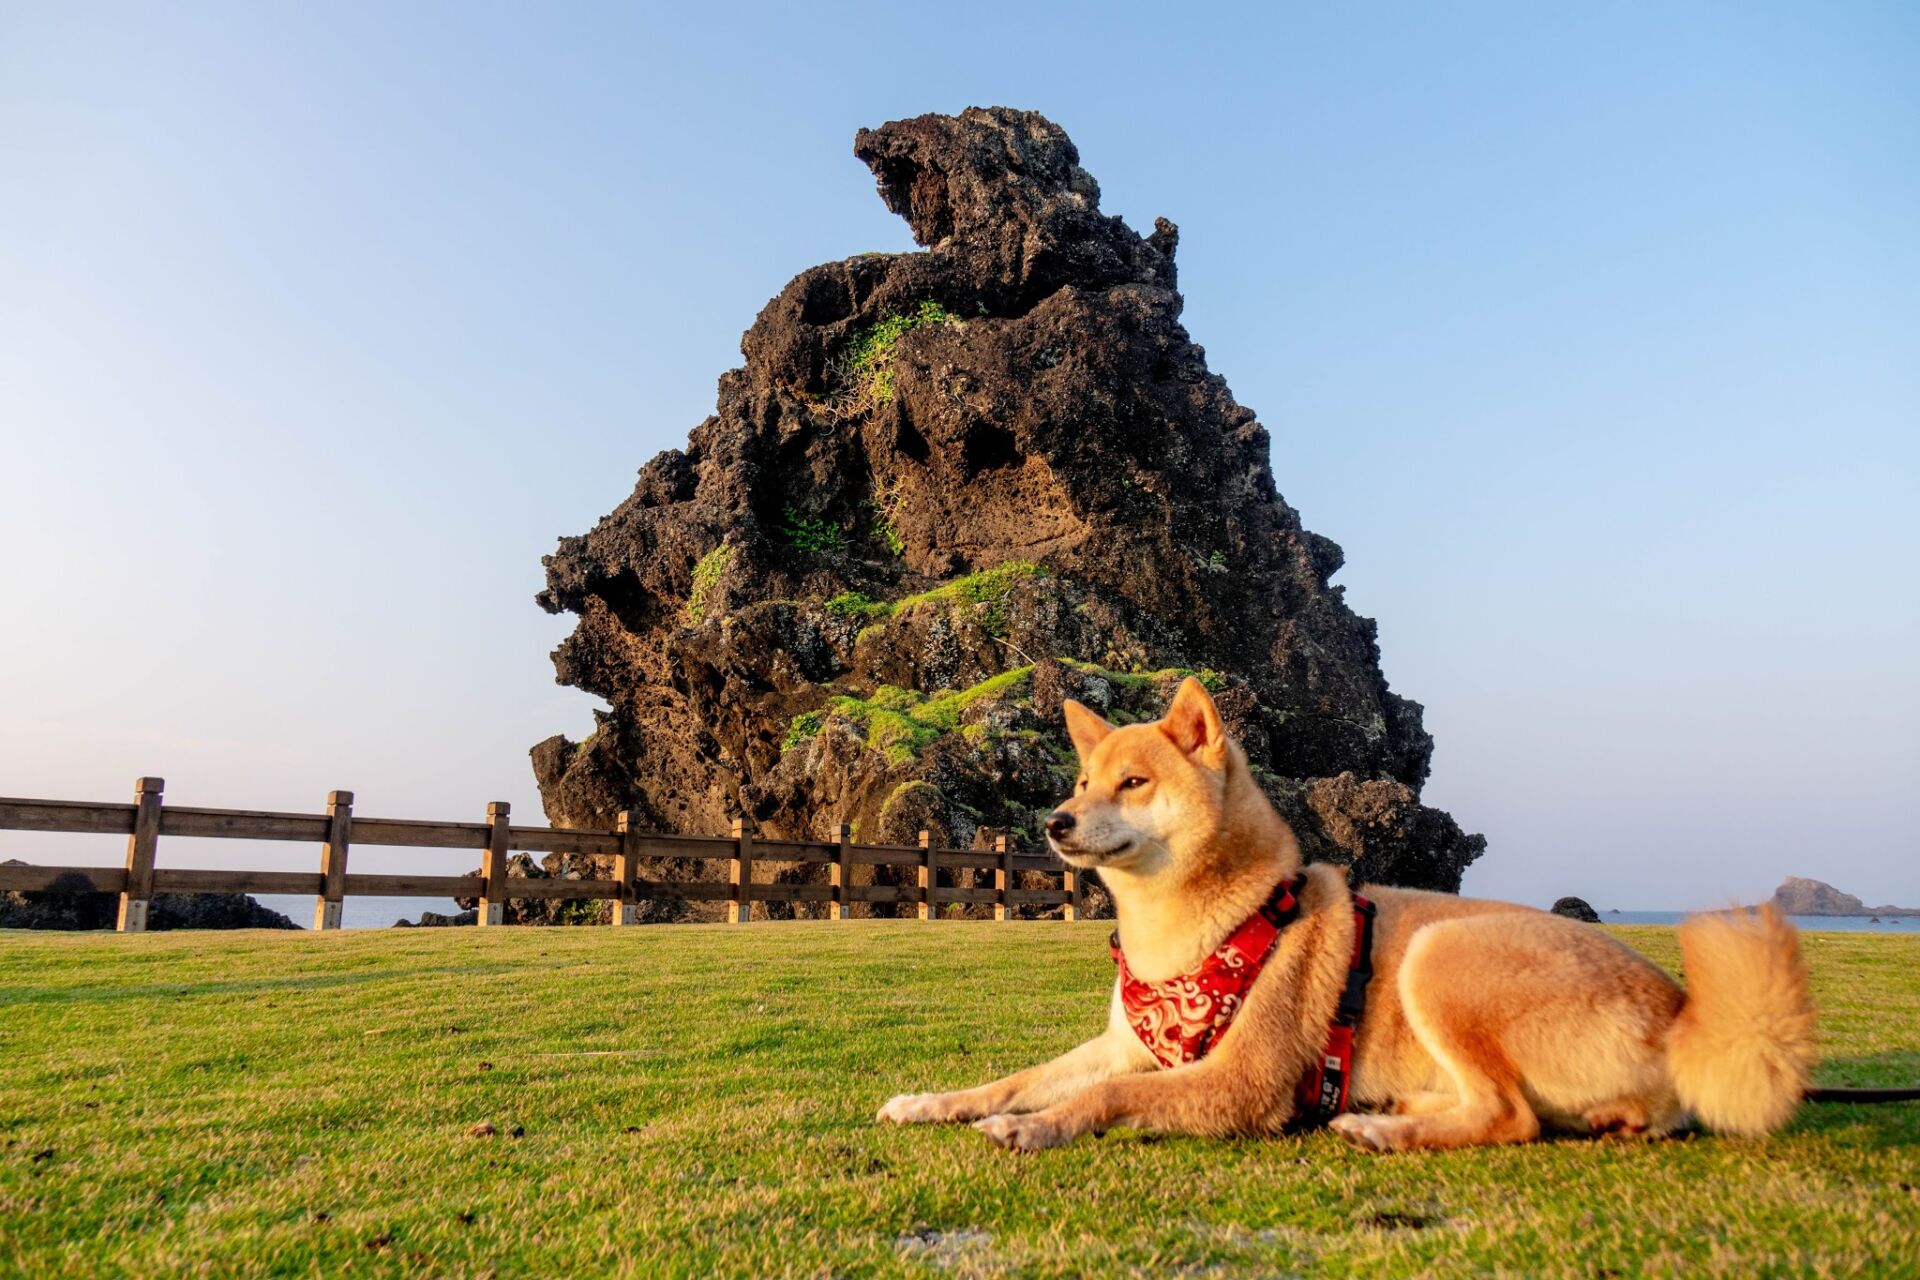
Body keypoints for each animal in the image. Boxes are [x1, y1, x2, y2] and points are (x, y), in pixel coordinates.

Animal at [879, 675, 1804, 1159]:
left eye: (1134, 783)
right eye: (1080, 781)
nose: (1054, 824)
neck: (1190, 929)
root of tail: (1684, 1013)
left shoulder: (1238, 1084)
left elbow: (1102, 1096)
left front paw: (1031, 1127)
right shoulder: (1125, 1044)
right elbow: (1017, 1077)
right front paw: (935, 1101)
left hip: (1441, 953)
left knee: (1512, 1117)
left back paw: (1381, 1130)